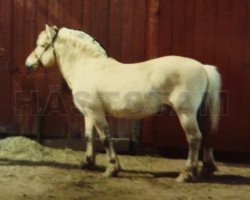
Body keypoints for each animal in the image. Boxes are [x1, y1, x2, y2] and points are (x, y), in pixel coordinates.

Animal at [25, 24, 221, 182]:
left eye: (41, 45)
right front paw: (87, 162)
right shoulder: (89, 112)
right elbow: (89, 136)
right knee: (206, 136)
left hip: (185, 113)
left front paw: (112, 168)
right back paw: (205, 169)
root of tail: (203, 68)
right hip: (199, 113)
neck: (88, 67)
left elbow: (105, 137)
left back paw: (186, 174)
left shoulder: (96, 112)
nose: (28, 64)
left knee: (194, 138)